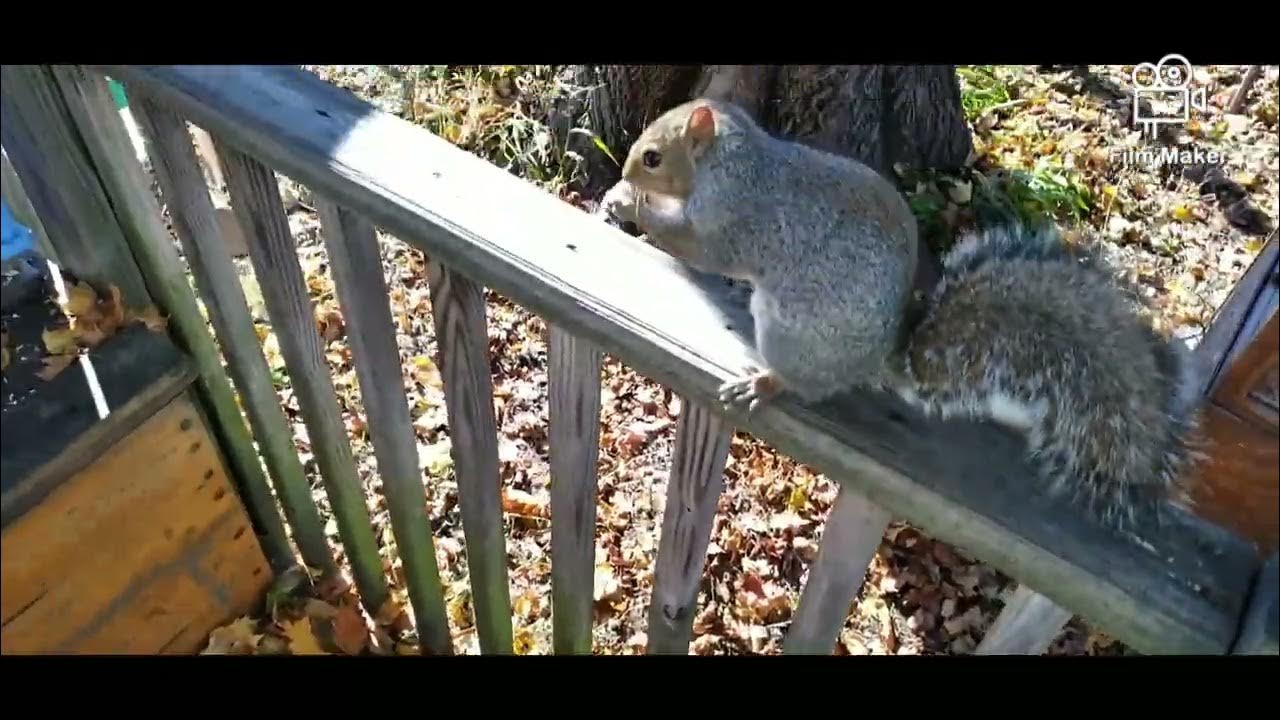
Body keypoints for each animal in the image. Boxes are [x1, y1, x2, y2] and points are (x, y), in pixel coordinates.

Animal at [601, 98, 1201, 530]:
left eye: (653, 157)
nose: (626, 167)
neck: (732, 164)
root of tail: (875, 361)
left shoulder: (735, 220)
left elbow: (700, 250)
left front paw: (631, 203)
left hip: (790, 335)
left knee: (802, 383)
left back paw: (765, 383)